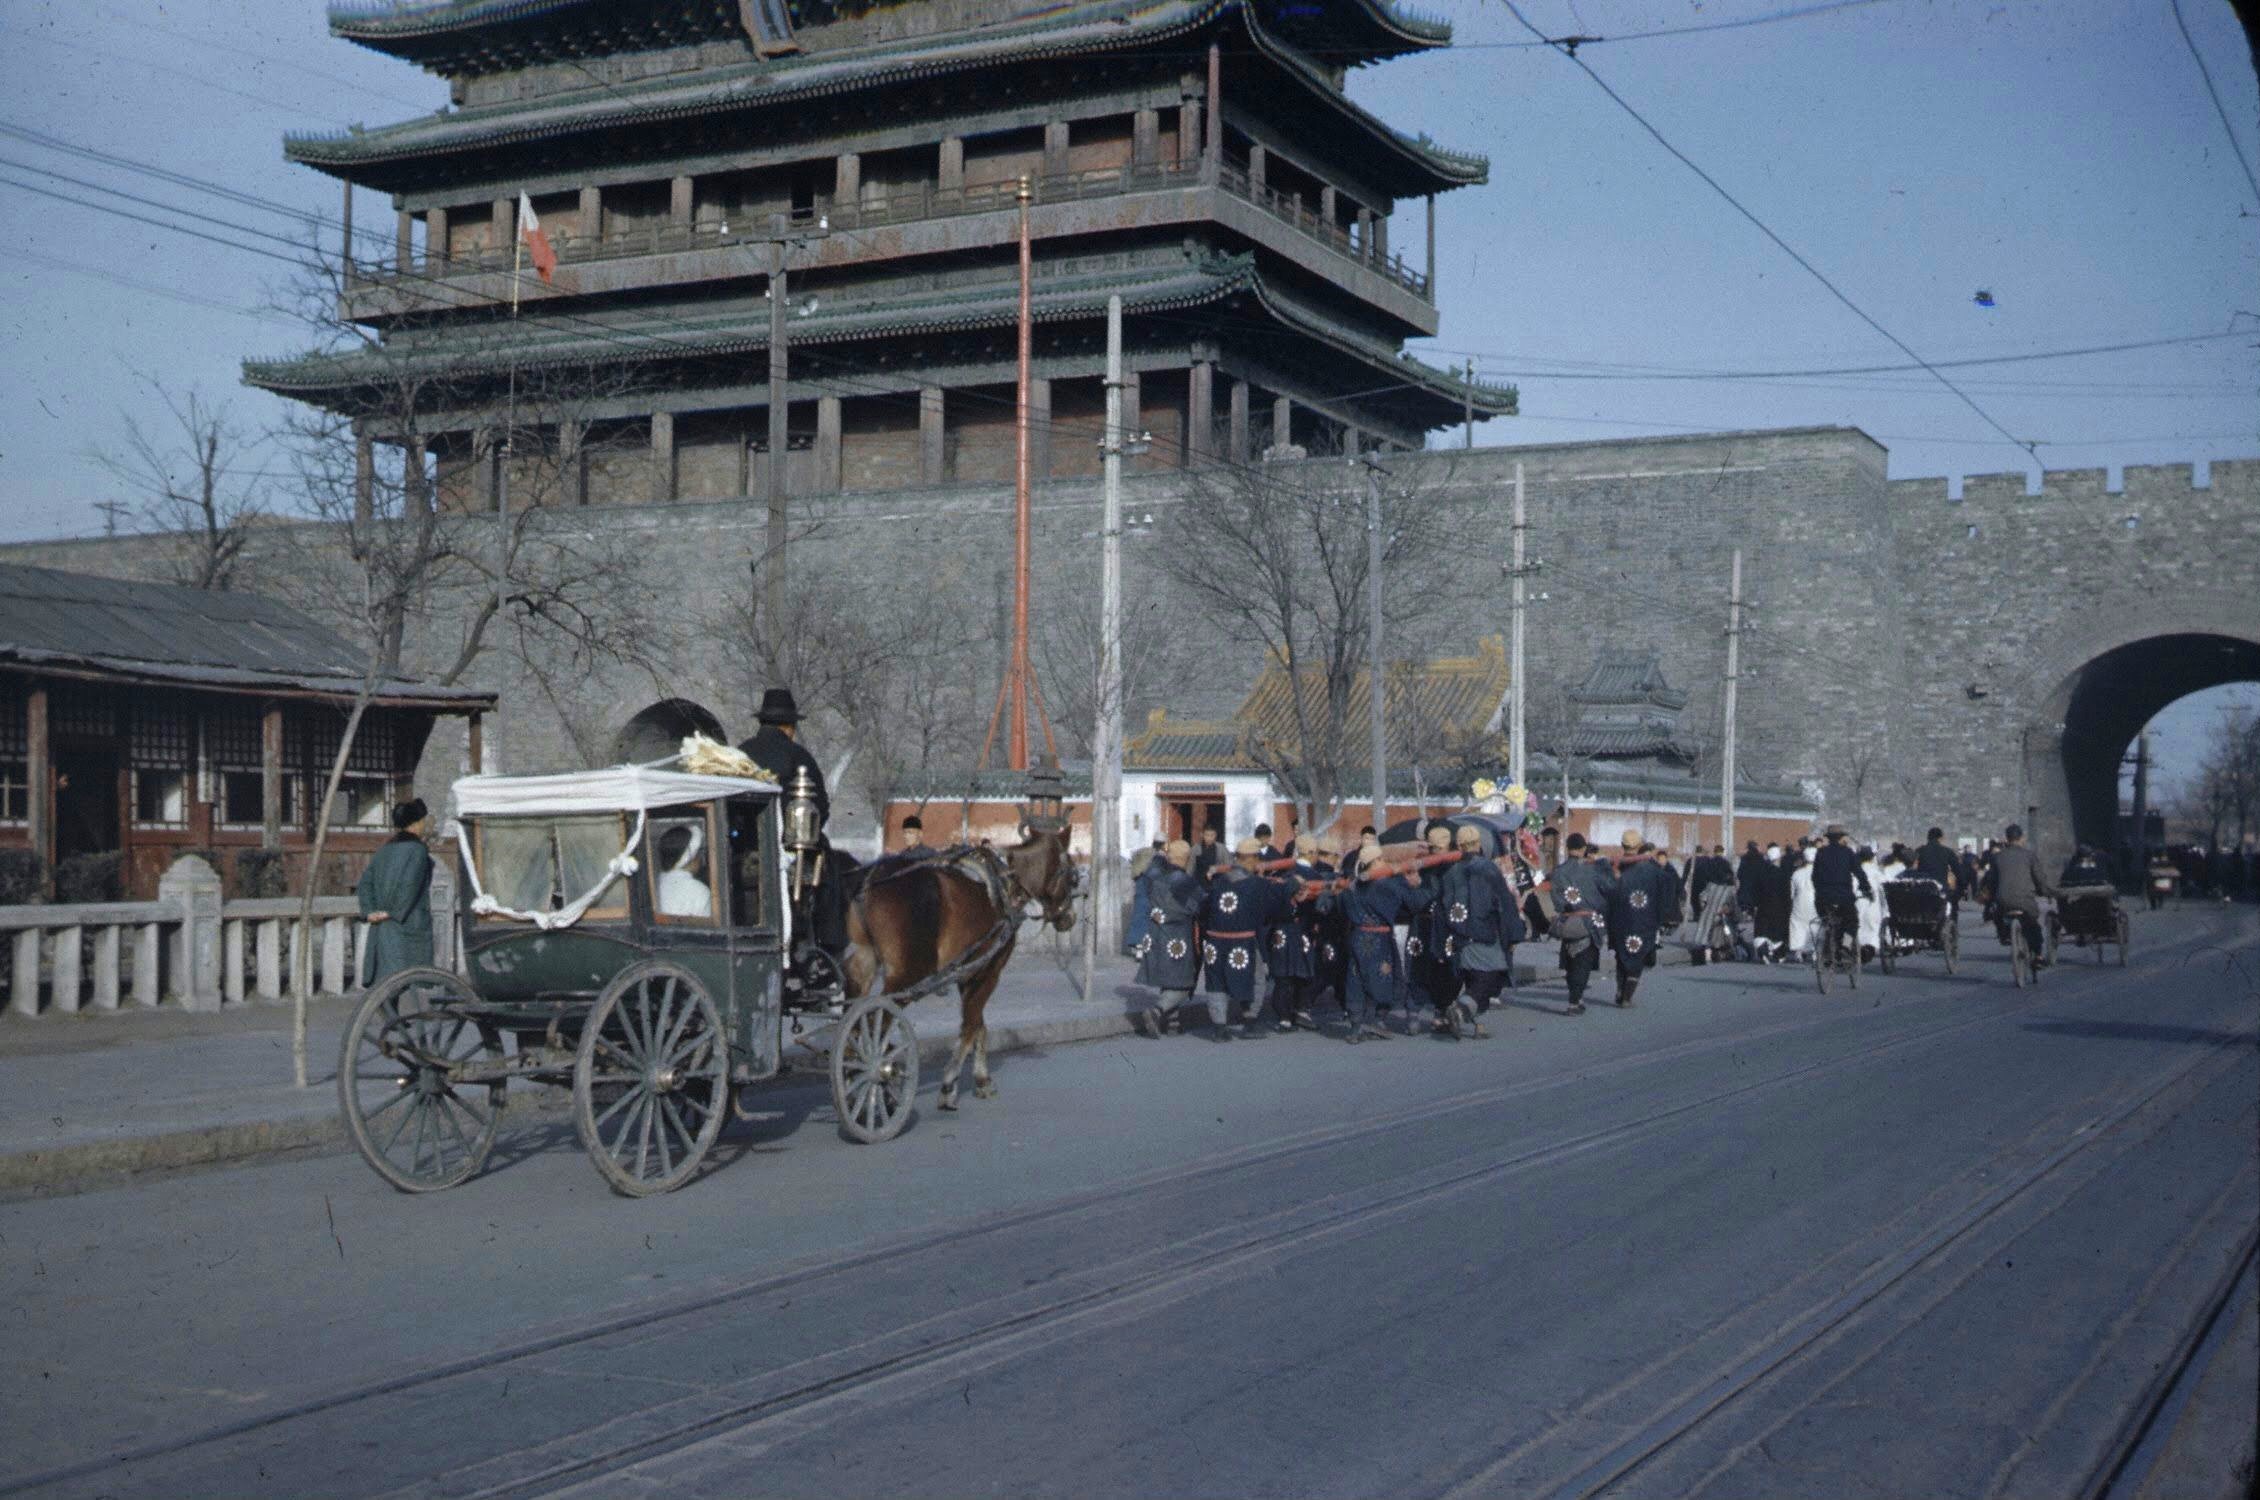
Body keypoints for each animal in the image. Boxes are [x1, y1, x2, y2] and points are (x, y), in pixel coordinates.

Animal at [845, 826, 1080, 1106]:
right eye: (1072, 876)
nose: (1070, 918)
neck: (1006, 885)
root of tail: (872, 879)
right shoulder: (989, 972)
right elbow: (970, 1026)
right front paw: (949, 1084)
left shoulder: (967, 974)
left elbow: (979, 1025)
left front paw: (982, 1079)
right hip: (906, 975)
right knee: (874, 1023)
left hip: (863, 963)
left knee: (853, 1022)